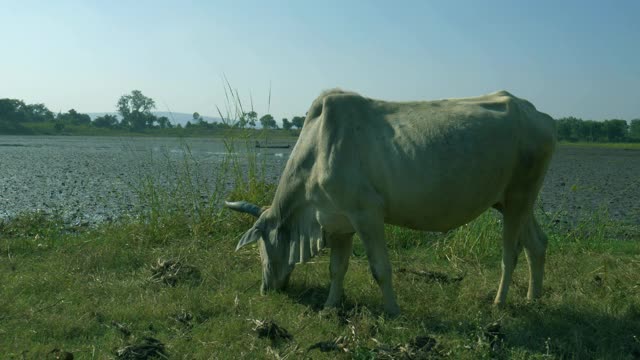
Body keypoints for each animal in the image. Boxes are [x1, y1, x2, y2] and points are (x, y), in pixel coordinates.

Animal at [225, 88, 556, 314]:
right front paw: (331, 307)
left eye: (261, 247)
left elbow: (380, 268)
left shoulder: (367, 214)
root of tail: (538, 115)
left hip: (519, 195)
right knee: (537, 244)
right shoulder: (339, 223)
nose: (266, 289)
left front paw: (393, 311)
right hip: (512, 200)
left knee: (510, 254)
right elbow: (337, 268)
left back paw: (500, 302)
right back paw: (533, 297)